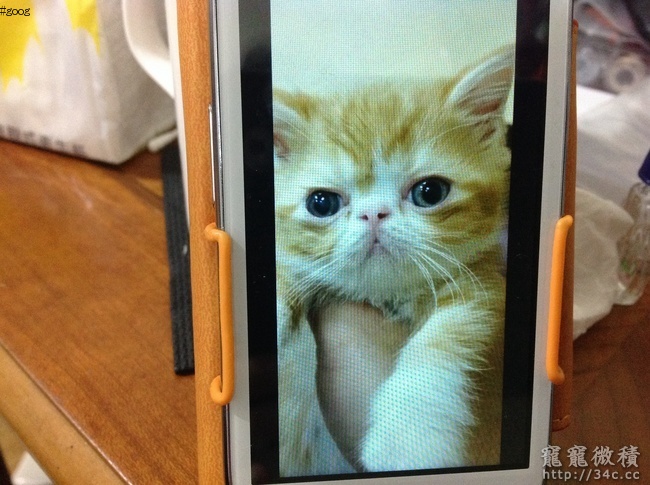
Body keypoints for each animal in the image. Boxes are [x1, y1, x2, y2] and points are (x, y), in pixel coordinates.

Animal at [274, 48, 513, 476]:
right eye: (322, 203)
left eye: (430, 192)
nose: (374, 214)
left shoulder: (483, 280)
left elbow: (451, 331)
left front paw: (409, 434)